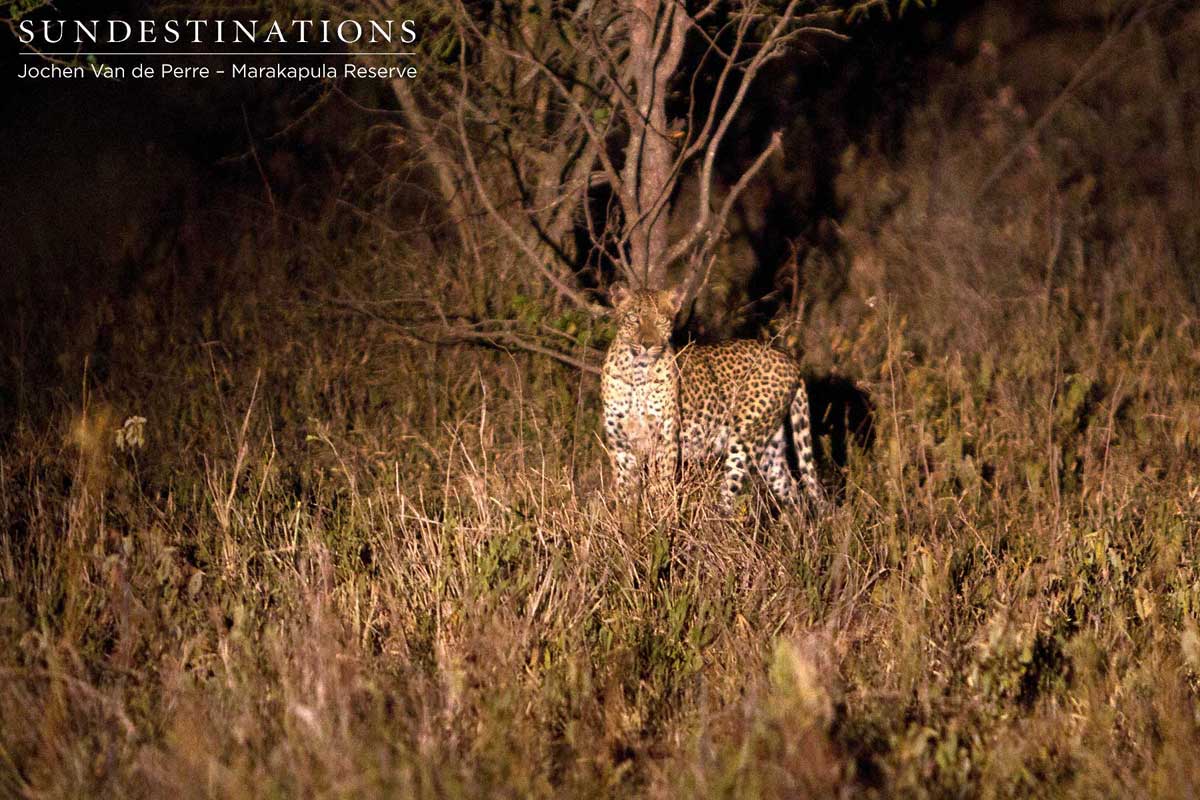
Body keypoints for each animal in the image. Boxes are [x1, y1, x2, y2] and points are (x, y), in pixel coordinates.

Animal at [600, 283, 823, 511]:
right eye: (633, 318)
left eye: (661, 320)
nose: (647, 344)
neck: (636, 373)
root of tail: (788, 357)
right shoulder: (619, 443)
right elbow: (625, 492)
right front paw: (628, 519)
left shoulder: (665, 440)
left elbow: (660, 487)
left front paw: (659, 517)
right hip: (771, 447)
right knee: (792, 491)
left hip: (745, 440)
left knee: (730, 495)